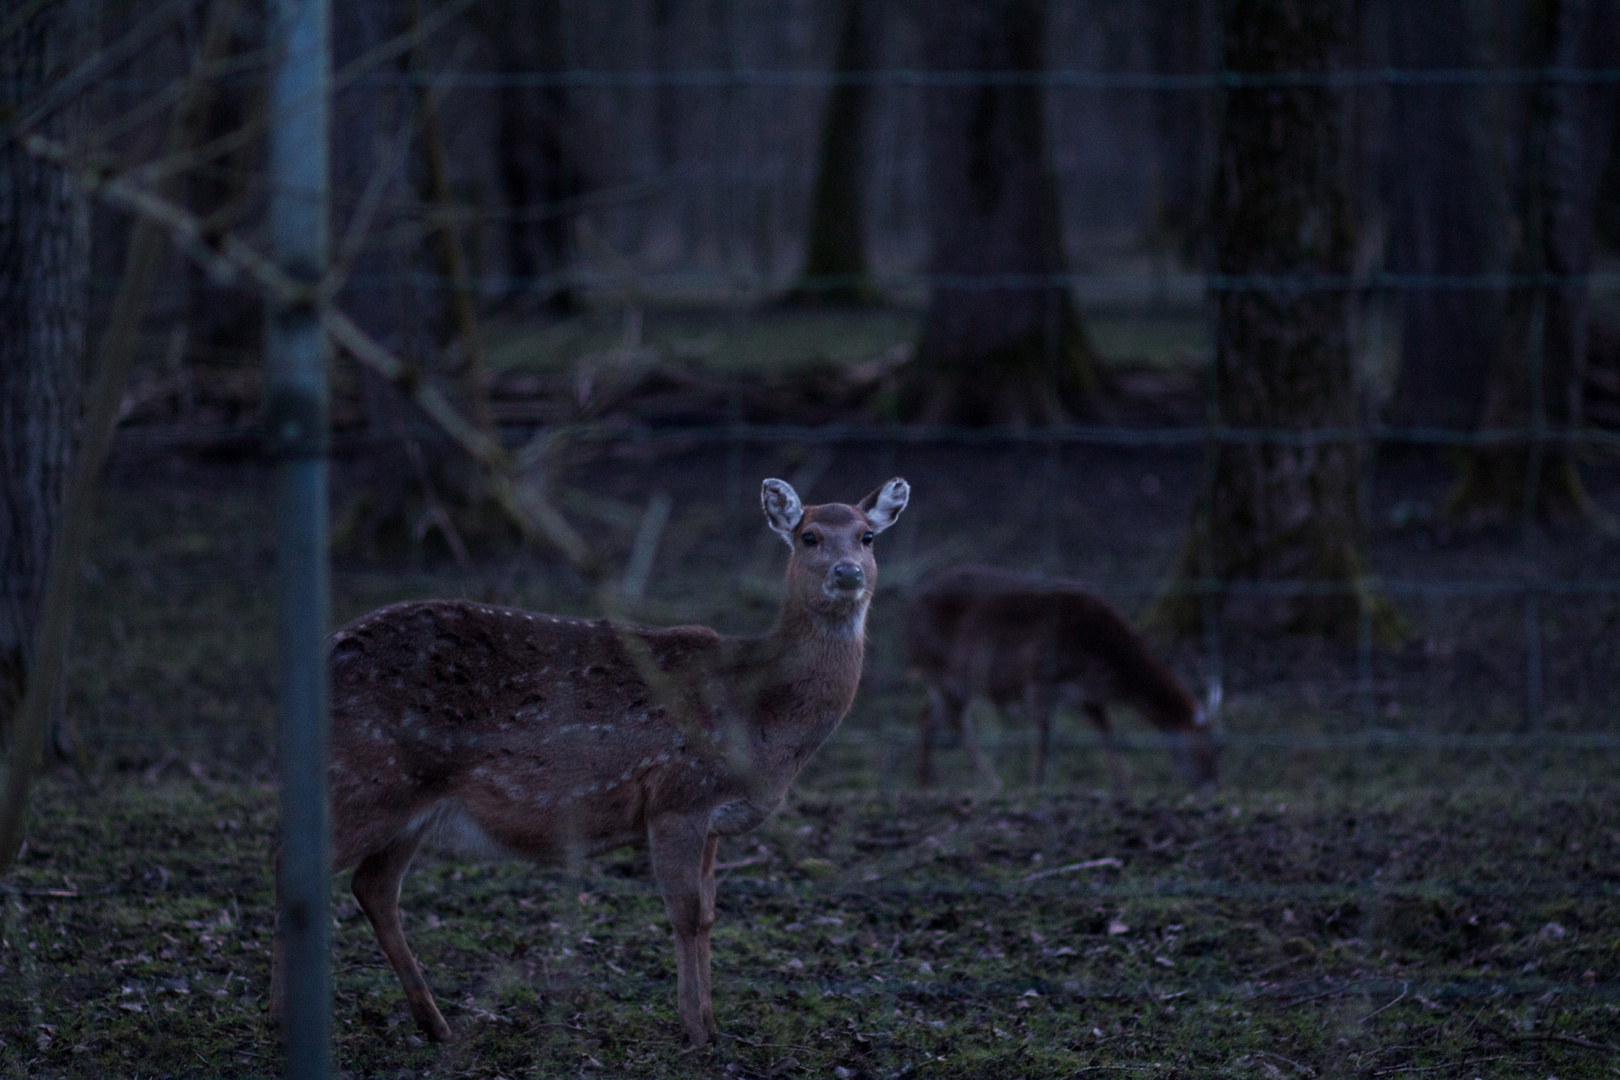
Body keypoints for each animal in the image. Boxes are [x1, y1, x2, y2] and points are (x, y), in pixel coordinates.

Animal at [275, 476, 913, 1049]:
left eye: (867, 536)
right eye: (808, 536)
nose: (848, 572)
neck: (761, 717)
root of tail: (321, 655)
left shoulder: (711, 818)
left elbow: (709, 913)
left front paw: (712, 1025)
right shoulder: (676, 796)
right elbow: (684, 913)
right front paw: (694, 1031)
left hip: (410, 801)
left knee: (373, 886)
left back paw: (435, 1025)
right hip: (369, 778)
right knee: (296, 871)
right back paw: (286, 1018)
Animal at [907, 566, 1218, 793]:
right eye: (1207, 749)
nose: (1212, 784)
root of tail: (911, 605)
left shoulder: (1086, 696)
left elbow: (1108, 734)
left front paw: (1123, 787)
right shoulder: (1038, 676)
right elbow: (1044, 738)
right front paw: (1036, 785)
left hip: (946, 677)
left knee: (927, 714)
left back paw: (923, 783)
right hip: (944, 669)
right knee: (956, 721)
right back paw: (992, 782)